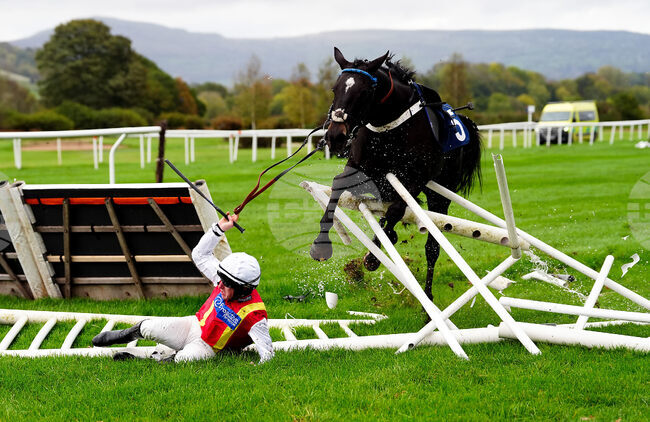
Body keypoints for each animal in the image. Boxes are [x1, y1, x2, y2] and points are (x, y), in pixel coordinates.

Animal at [309, 47, 482, 300]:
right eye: (335, 89)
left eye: (363, 92)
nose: (336, 136)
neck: (389, 128)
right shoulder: (362, 169)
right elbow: (338, 186)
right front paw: (320, 244)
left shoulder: (416, 177)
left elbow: (396, 210)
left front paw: (374, 256)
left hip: (440, 195)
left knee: (432, 245)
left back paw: (427, 296)